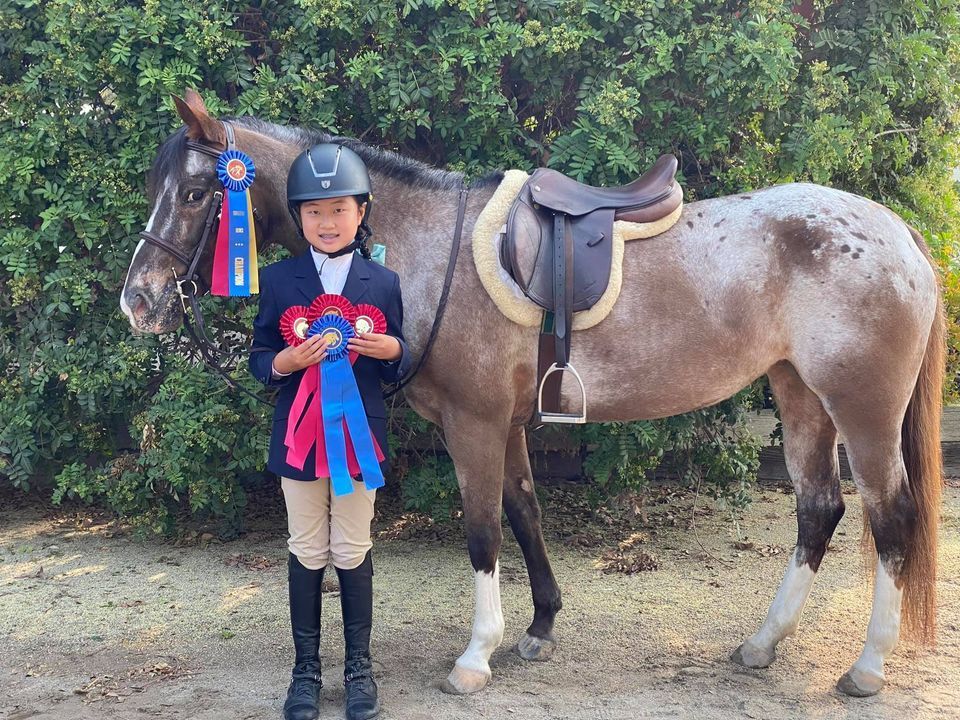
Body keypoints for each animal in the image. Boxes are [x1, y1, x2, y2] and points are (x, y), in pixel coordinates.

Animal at [122, 91, 944, 696]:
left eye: (195, 192)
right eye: (157, 187)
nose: (139, 301)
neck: (434, 247)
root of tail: (897, 233)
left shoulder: (474, 423)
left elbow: (484, 529)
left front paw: (474, 657)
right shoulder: (506, 422)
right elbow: (524, 513)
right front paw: (540, 628)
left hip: (862, 411)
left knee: (890, 518)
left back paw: (867, 666)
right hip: (800, 395)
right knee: (819, 510)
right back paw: (763, 642)